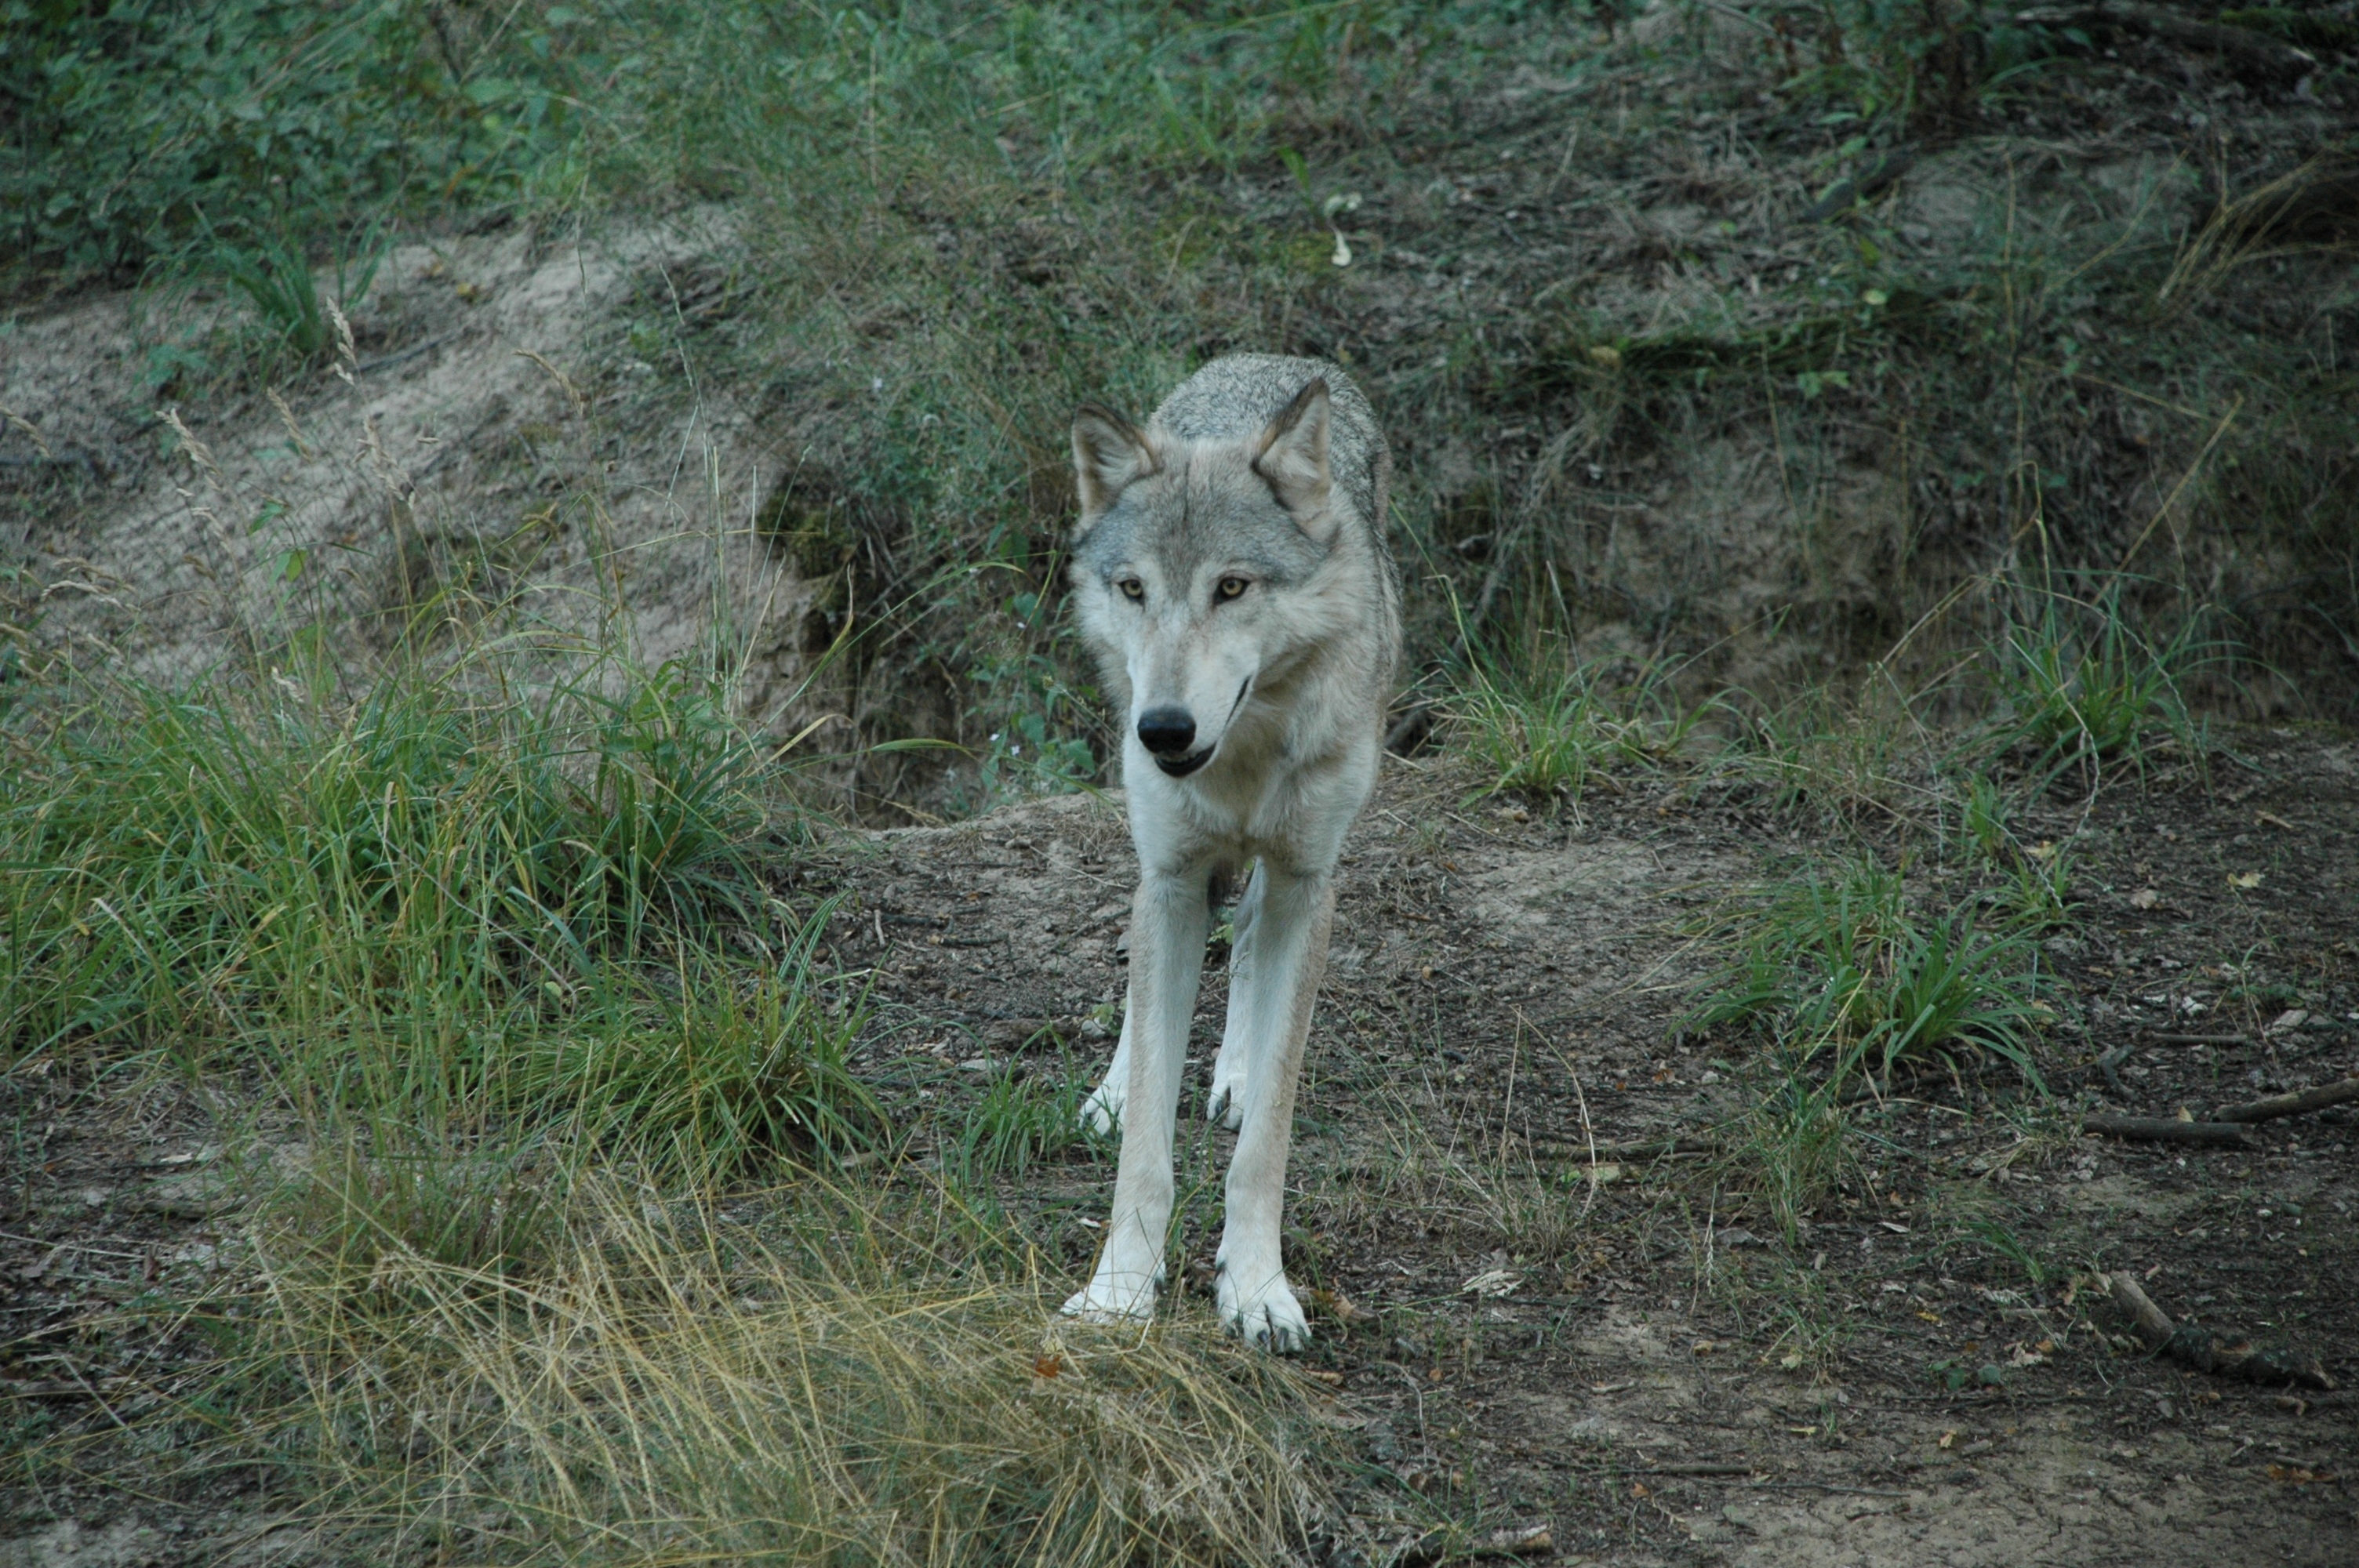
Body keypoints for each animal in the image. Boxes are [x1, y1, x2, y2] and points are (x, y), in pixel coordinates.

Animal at [1056, 354, 1396, 1348]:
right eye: (1134, 588)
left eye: (1232, 587)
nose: (1163, 728)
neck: (1239, 756)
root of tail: (1265, 360)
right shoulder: (1171, 879)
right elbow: (1145, 1143)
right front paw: (1119, 1289)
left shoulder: (1307, 883)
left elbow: (1264, 1146)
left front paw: (1254, 1288)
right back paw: (1115, 1086)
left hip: (1283, 874)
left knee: (1244, 936)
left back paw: (1234, 1074)